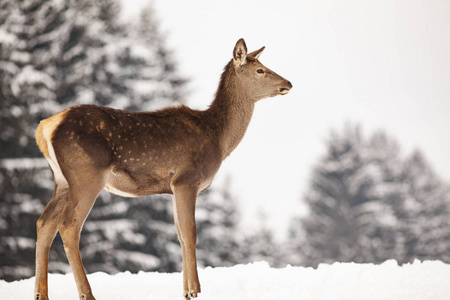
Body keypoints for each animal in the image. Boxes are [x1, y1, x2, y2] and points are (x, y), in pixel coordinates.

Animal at [34, 38, 292, 298]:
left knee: (44, 223)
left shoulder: (173, 187)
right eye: (260, 70)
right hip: (87, 174)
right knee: (69, 225)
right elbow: (190, 232)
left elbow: (179, 234)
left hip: (62, 180)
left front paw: (186, 290)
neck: (218, 139)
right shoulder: (187, 179)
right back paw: (87, 294)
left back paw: (40, 293)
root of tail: (45, 127)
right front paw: (195, 290)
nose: (288, 83)